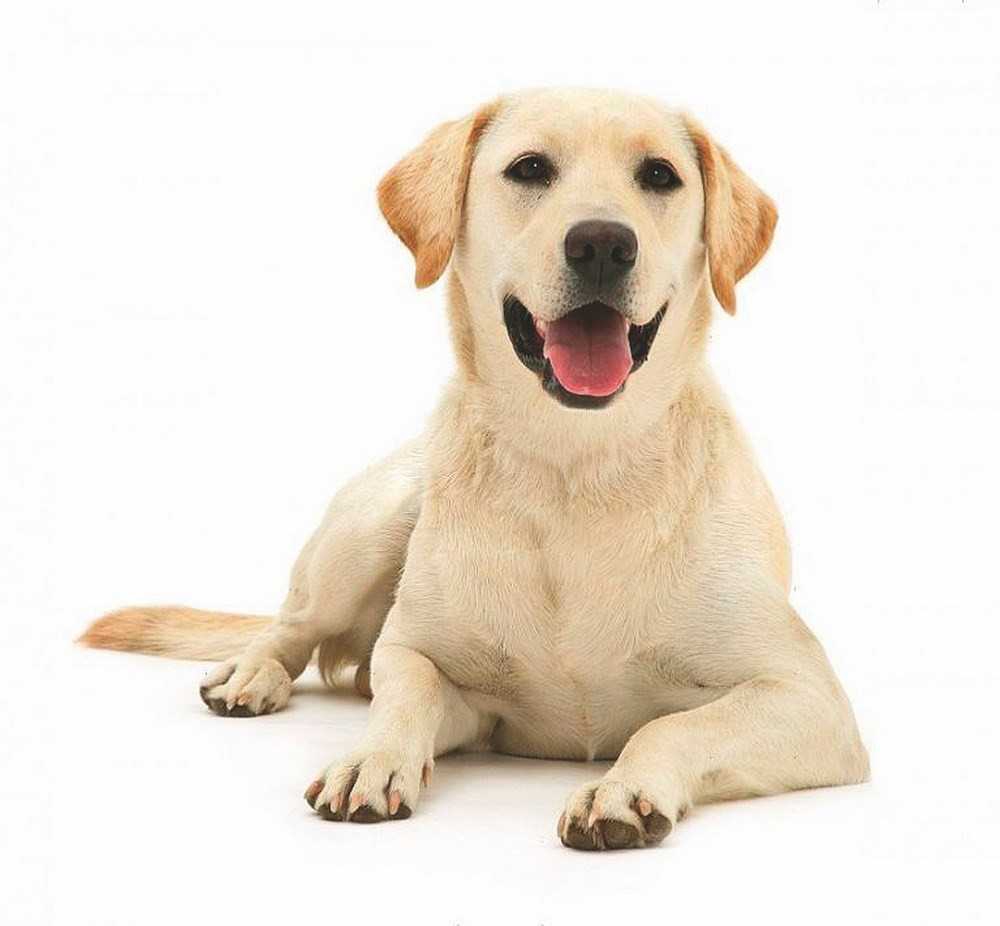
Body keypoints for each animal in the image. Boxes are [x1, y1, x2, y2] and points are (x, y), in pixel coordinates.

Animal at [81, 87, 870, 850]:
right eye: (529, 169)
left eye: (658, 176)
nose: (603, 242)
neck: (574, 466)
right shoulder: (430, 666)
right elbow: (405, 691)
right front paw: (371, 759)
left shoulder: (808, 697)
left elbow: (671, 723)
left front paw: (618, 789)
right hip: (371, 525)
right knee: (291, 623)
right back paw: (251, 672)